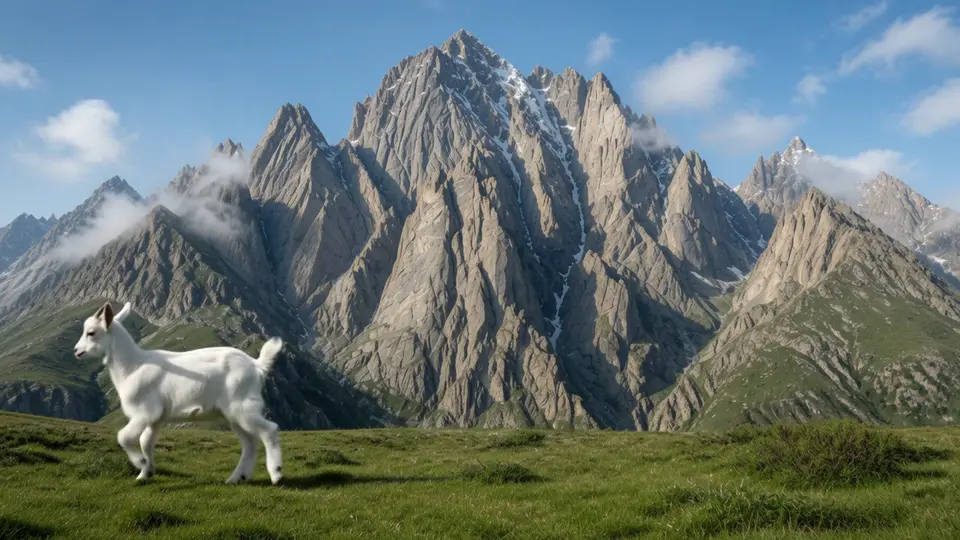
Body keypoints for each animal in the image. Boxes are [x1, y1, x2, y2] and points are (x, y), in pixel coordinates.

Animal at [73, 301, 284, 485]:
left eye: (91, 333)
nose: (76, 351)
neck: (132, 366)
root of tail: (257, 366)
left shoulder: (145, 412)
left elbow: (124, 437)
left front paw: (140, 462)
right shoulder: (157, 417)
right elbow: (145, 441)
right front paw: (146, 473)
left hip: (243, 406)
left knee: (269, 429)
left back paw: (275, 473)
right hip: (233, 413)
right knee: (250, 442)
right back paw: (237, 478)